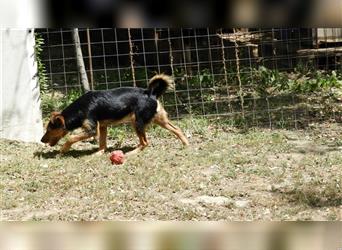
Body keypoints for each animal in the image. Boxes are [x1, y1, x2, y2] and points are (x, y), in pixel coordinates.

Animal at [41, 74, 190, 155]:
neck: (80, 109)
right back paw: (186, 145)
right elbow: (102, 144)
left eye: (49, 129)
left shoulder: (92, 130)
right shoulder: (102, 126)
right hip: (159, 119)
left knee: (145, 143)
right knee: (177, 129)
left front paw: (64, 149)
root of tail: (149, 93)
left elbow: (71, 138)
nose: (41, 140)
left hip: (137, 121)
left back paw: (131, 153)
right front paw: (98, 154)